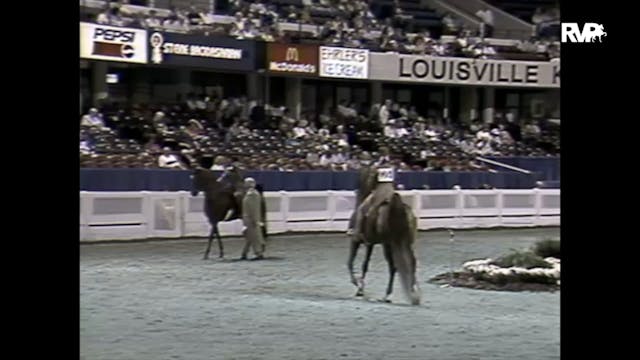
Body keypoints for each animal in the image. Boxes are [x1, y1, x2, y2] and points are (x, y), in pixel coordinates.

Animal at [344, 168, 420, 304]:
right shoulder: (371, 243)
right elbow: (361, 264)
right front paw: (360, 288)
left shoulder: (359, 242)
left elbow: (354, 263)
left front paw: (359, 288)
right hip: (400, 243)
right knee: (408, 263)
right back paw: (410, 295)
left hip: (389, 244)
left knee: (394, 266)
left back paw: (389, 295)